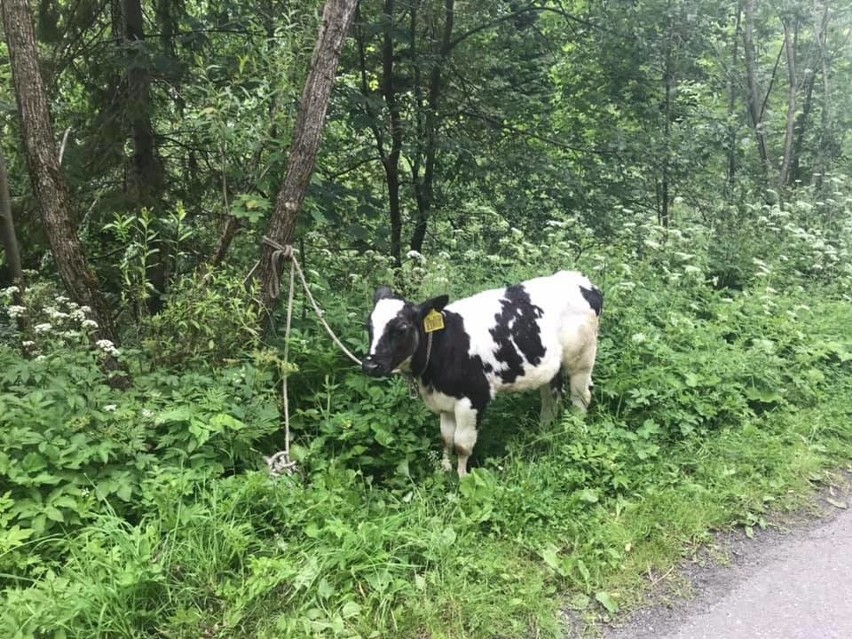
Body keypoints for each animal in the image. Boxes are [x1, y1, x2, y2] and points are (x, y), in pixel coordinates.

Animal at [362, 270, 604, 476]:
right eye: (369, 326)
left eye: (402, 328)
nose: (370, 366)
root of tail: (579, 279)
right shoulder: (445, 400)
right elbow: (446, 438)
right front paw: (444, 469)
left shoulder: (474, 398)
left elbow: (461, 444)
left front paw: (462, 478)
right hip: (550, 366)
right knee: (551, 398)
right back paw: (544, 432)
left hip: (582, 359)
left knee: (581, 398)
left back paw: (573, 432)